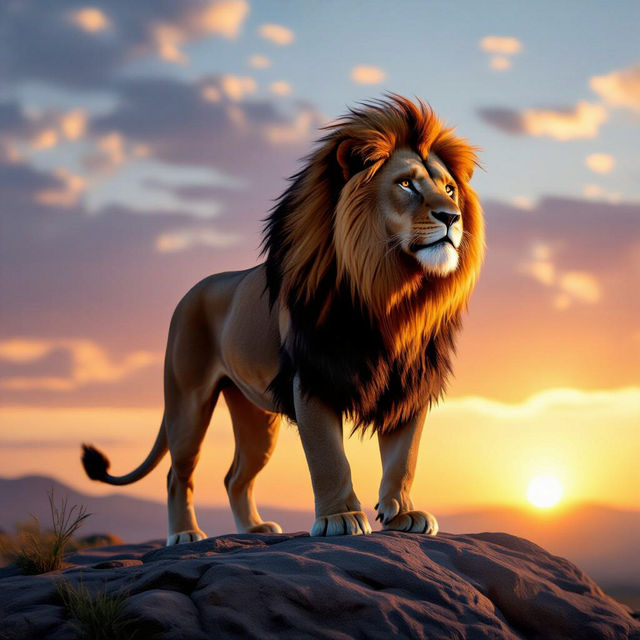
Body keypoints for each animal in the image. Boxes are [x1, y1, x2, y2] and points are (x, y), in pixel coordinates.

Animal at [82, 96, 485, 544]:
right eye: (406, 185)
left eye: (449, 189)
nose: (452, 217)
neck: (392, 295)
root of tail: (193, 291)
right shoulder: (312, 376)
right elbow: (328, 457)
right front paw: (340, 518)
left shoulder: (409, 384)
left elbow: (404, 457)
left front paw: (403, 514)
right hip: (187, 402)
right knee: (176, 473)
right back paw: (185, 534)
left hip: (256, 417)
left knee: (235, 476)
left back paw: (254, 528)